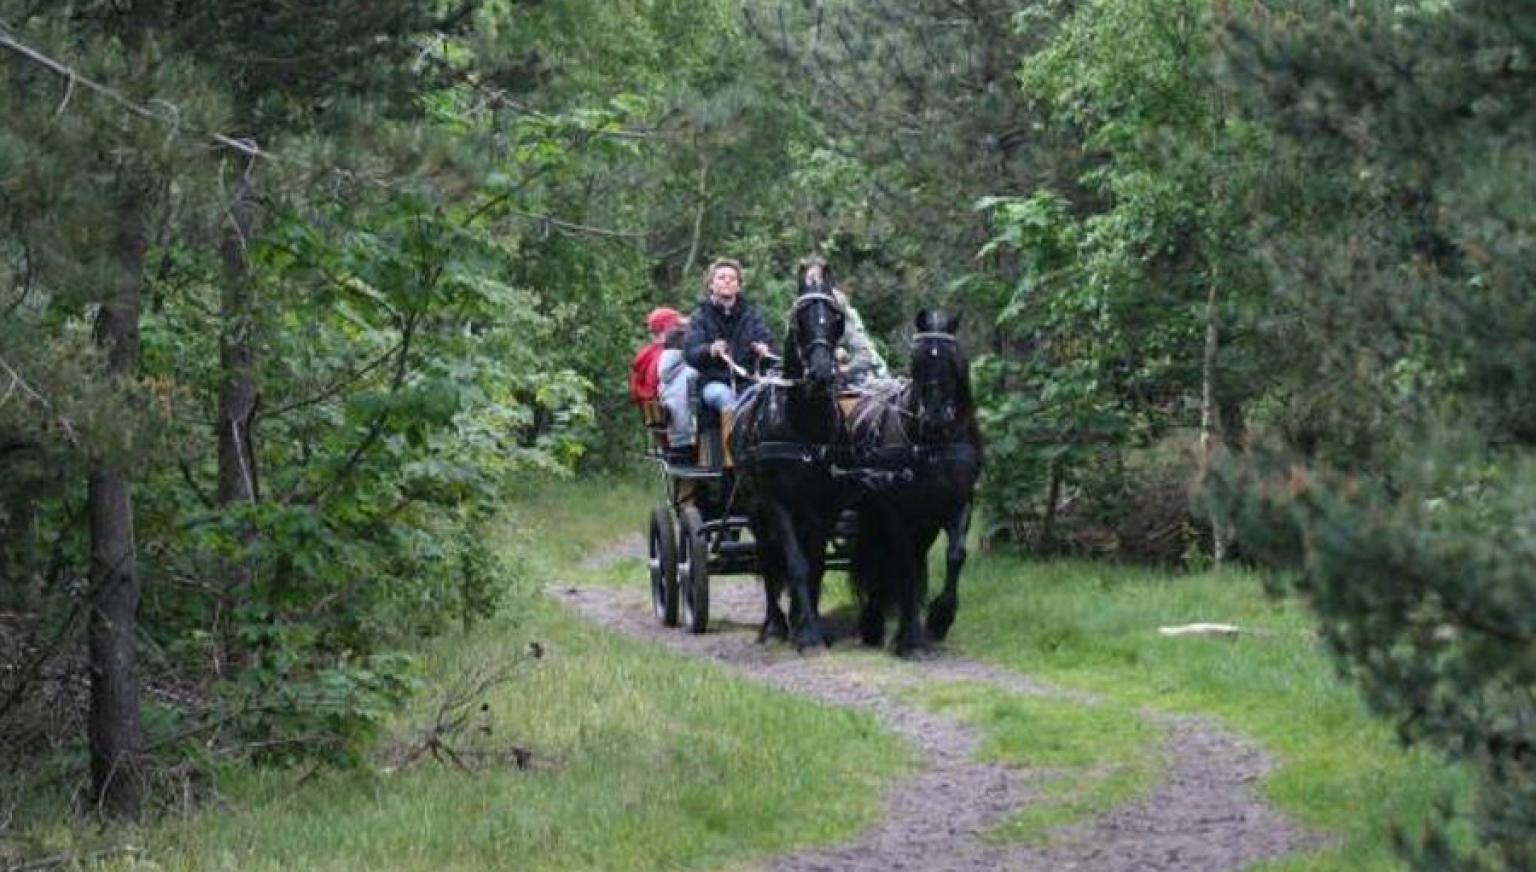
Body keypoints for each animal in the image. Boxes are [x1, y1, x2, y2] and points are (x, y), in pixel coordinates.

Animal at [731, 262, 854, 650]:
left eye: (836, 318)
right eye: (800, 318)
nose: (821, 373)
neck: (805, 424)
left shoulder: (827, 504)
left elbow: (815, 565)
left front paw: (810, 624)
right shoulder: (778, 503)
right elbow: (795, 564)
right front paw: (807, 633)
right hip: (755, 509)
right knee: (768, 560)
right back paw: (773, 624)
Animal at [847, 310, 976, 657]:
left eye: (953, 357)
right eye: (916, 359)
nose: (935, 414)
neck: (933, 442)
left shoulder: (959, 503)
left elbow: (955, 555)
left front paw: (940, 618)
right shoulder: (899, 511)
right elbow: (903, 566)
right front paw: (910, 639)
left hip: (925, 521)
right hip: (873, 512)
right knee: (880, 555)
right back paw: (873, 623)